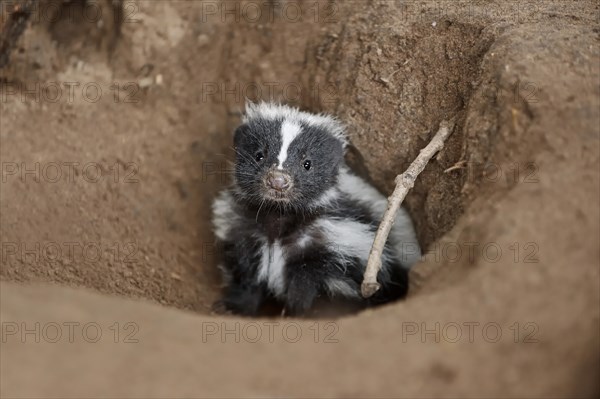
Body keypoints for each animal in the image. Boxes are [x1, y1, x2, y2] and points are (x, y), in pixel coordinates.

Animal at [213, 104, 420, 318]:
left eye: (307, 164)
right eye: (259, 155)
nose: (278, 181)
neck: (279, 218)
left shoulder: (335, 238)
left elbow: (306, 284)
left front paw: (296, 311)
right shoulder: (245, 232)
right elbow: (247, 275)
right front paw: (235, 306)